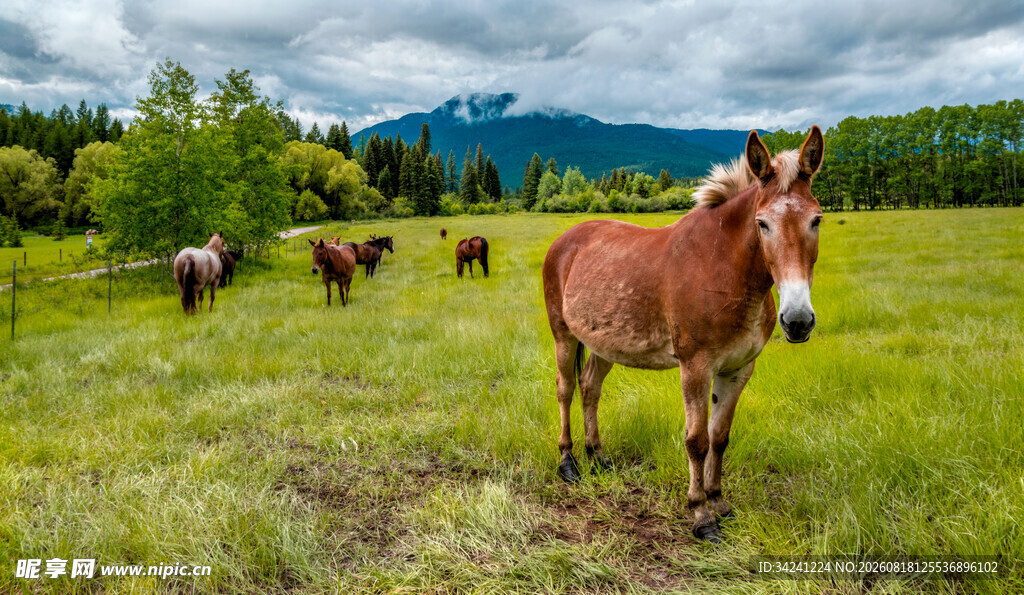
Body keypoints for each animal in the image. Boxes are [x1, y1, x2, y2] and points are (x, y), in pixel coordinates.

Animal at [542, 127, 824, 543]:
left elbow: (720, 437)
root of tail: (566, 240)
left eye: (816, 220)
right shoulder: (695, 368)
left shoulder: (738, 369)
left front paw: (718, 501)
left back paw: (598, 456)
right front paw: (700, 513)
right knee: (565, 390)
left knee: (590, 387)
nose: (798, 320)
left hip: (602, 343)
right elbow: (697, 441)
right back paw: (568, 462)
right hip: (564, 336)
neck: (724, 270)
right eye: (762, 224)